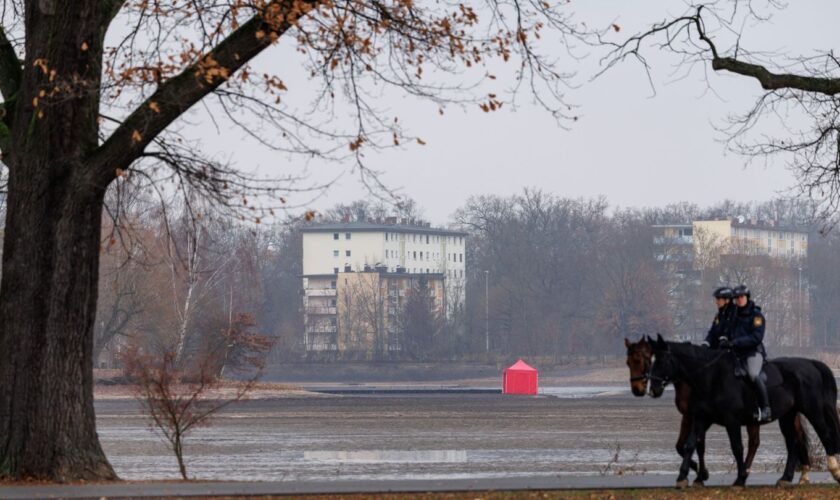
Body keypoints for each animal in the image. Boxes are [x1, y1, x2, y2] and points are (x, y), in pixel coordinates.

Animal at [624, 336, 796, 484]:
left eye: (640, 360)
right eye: (628, 363)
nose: (637, 389)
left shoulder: (694, 416)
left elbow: (695, 445)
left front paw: (700, 474)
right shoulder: (695, 417)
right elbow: (687, 445)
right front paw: (698, 473)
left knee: (755, 443)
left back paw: (745, 474)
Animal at [648, 334, 832, 486]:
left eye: (662, 361)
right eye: (651, 360)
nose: (653, 390)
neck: (712, 378)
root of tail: (810, 363)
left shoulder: (731, 420)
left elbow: (736, 447)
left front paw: (739, 477)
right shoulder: (701, 418)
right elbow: (690, 445)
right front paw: (684, 477)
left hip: (811, 411)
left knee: (817, 434)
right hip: (787, 415)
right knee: (792, 441)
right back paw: (787, 478)